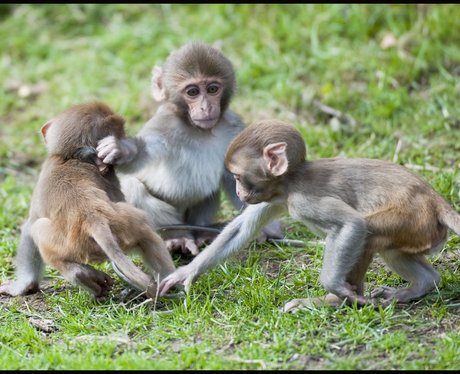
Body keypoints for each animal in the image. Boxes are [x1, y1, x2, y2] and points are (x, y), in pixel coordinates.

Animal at [96, 41, 284, 258]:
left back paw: (201, 234)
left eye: (212, 89)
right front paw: (121, 149)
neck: (199, 131)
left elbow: (236, 179)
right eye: (192, 92)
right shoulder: (165, 125)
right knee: (134, 188)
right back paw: (177, 238)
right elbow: (142, 155)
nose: (206, 107)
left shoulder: (233, 127)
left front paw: (266, 226)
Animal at [159, 119, 460, 310]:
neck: (289, 182)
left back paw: (334, 302)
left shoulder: (301, 200)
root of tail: (435, 200)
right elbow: (240, 230)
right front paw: (186, 272)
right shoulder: (275, 198)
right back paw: (423, 283)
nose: (238, 191)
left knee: (370, 233)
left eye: (237, 176)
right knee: (393, 250)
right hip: (420, 229)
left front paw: (336, 289)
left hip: (413, 216)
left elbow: (350, 224)